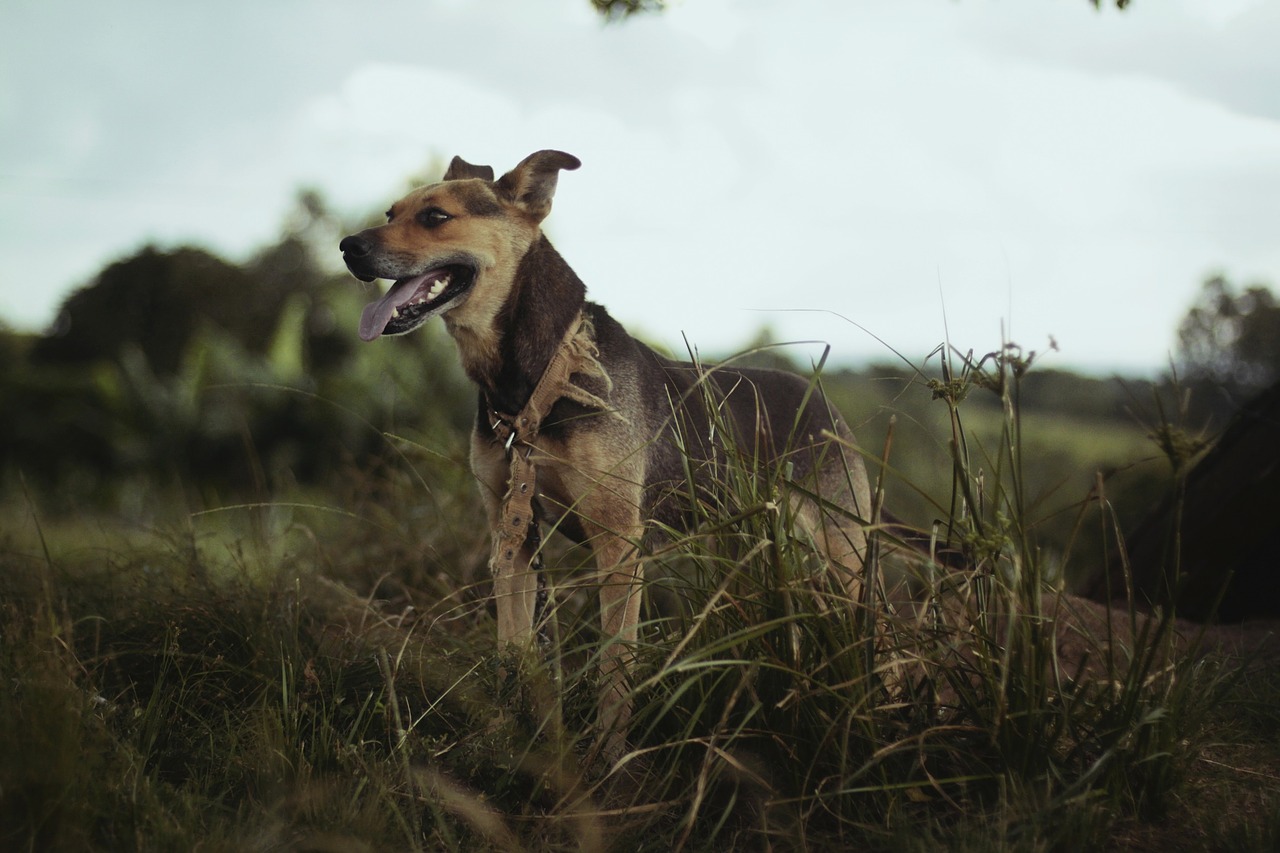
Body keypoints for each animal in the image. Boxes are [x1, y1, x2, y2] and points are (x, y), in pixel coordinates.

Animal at [340, 151, 875, 753]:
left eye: (435, 216)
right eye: (392, 212)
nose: (348, 247)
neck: (541, 375)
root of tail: (825, 405)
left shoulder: (618, 542)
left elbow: (615, 665)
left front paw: (608, 755)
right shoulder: (511, 532)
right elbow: (512, 647)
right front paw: (507, 732)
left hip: (842, 555)